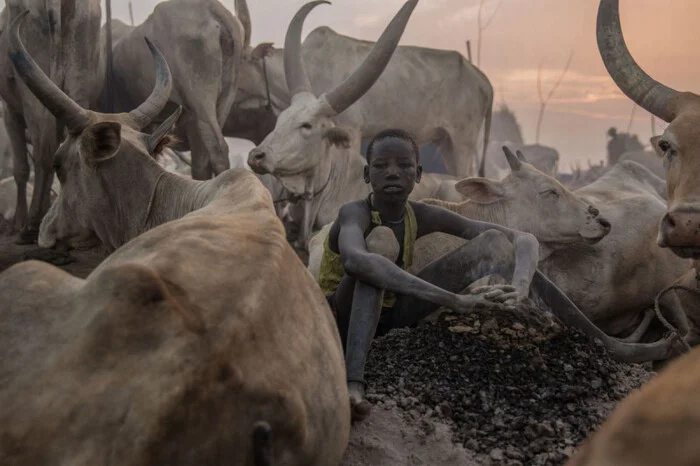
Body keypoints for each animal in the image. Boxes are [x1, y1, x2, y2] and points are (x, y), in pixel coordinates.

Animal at [0, 0, 104, 244]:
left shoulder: (10, 113)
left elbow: (20, 168)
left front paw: (18, 221)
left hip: (33, 90)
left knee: (43, 151)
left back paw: (31, 223)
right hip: (78, 82)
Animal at [238, 0, 494, 180]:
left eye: (307, 125)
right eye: (280, 120)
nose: (256, 156)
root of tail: (480, 77)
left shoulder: (351, 130)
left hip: (463, 140)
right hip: (445, 142)